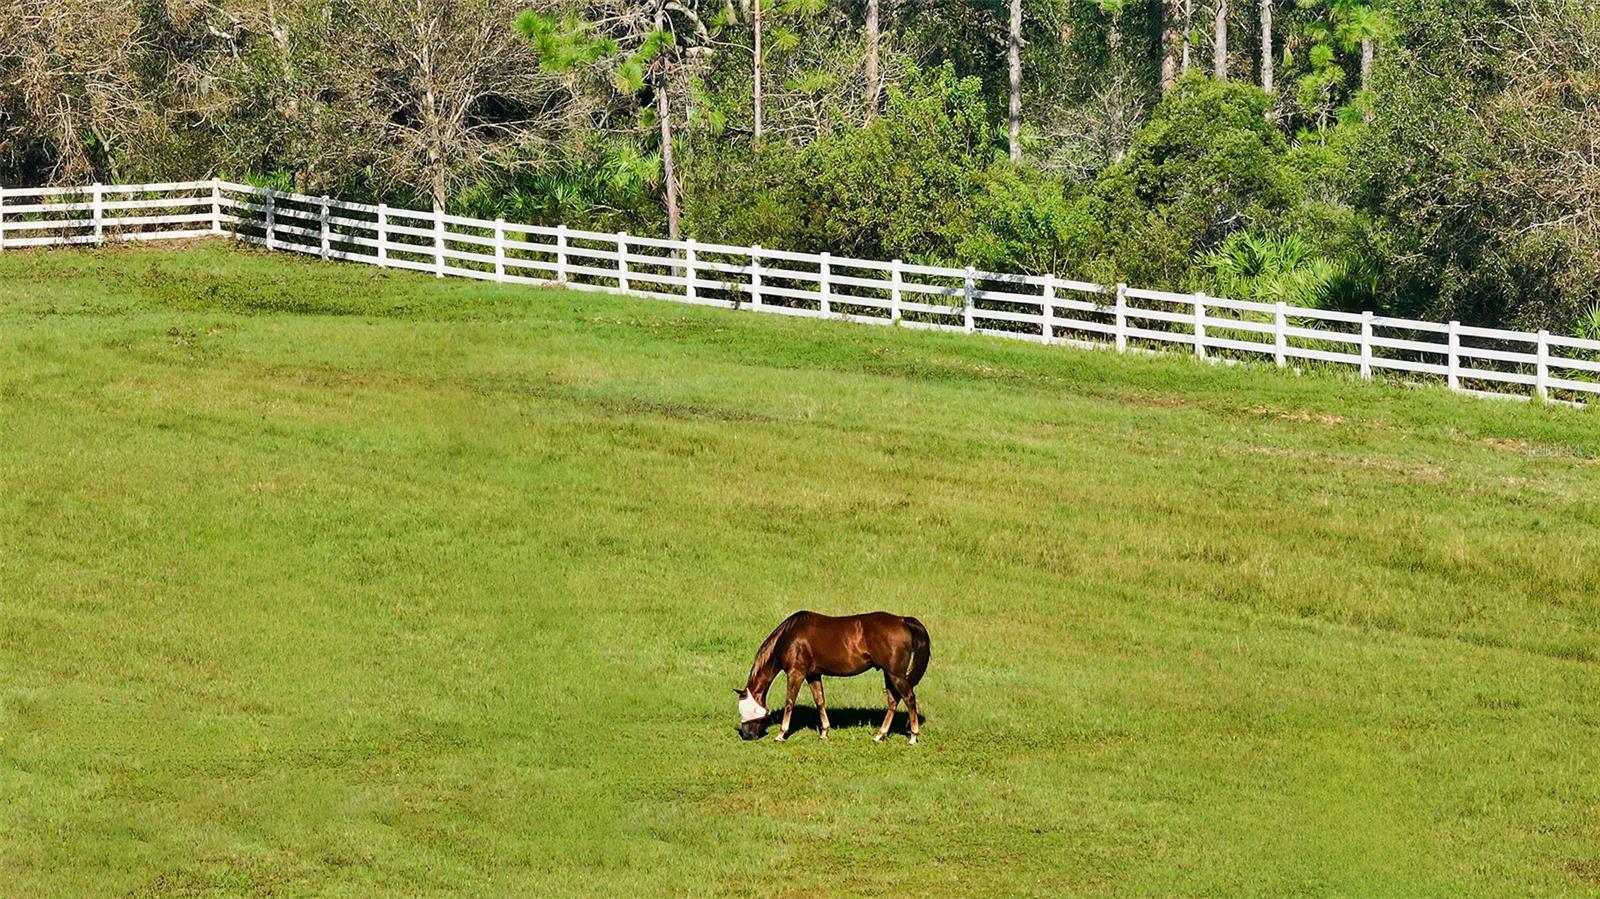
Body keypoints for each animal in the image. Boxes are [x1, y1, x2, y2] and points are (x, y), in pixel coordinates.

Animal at [732, 607, 934, 742]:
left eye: (745, 710)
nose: (747, 736)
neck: (790, 636)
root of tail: (902, 620)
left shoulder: (796, 673)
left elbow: (790, 702)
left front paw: (781, 734)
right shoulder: (813, 675)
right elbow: (820, 701)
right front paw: (824, 732)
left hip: (895, 674)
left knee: (909, 698)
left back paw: (913, 737)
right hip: (889, 673)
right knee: (893, 700)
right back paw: (880, 735)